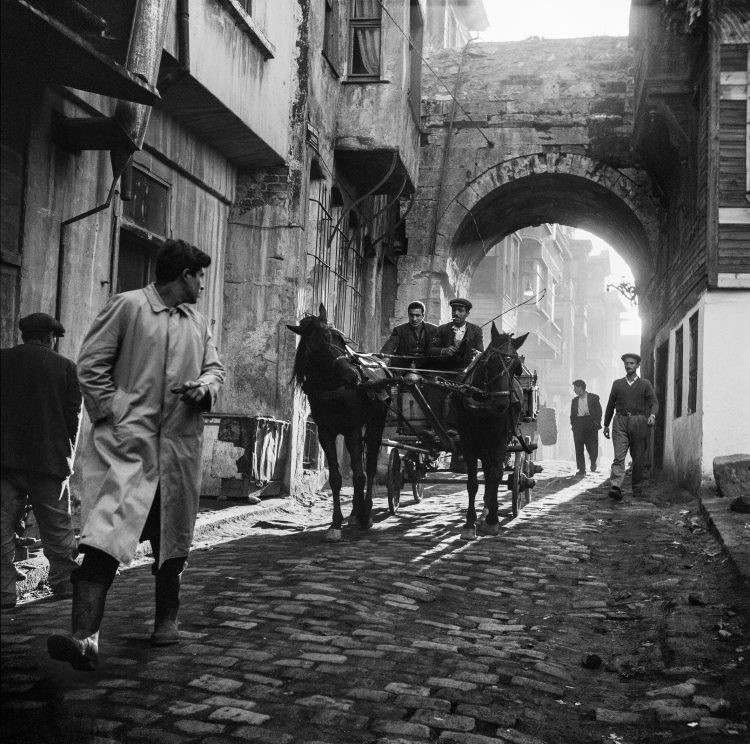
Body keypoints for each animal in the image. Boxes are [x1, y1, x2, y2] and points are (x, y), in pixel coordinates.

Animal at [290, 302, 390, 540]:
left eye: (339, 338)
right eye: (314, 346)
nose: (353, 375)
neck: (332, 389)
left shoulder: (352, 429)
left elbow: (360, 475)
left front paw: (364, 517)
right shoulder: (326, 432)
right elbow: (336, 478)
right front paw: (336, 524)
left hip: (376, 423)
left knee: (370, 467)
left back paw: (365, 511)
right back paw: (354, 513)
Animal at [456, 326, 532, 540]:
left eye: (516, 367)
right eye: (490, 361)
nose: (501, 404)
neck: (484, 404)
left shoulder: (500, 440)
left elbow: (495, 476)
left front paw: (492, 520)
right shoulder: (469, 441)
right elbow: (473, 482)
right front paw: (469, 523)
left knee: (493, 474)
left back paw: (488, 512)